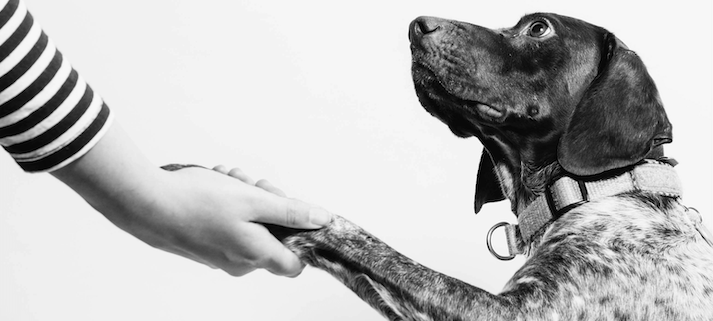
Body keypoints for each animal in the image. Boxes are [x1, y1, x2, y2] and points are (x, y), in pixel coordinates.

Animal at [171, 12, 712, 320]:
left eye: (539, 28)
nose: (415, 25)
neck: (592, 191)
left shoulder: (515, 314)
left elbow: (362, 241)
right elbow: (368, 270)